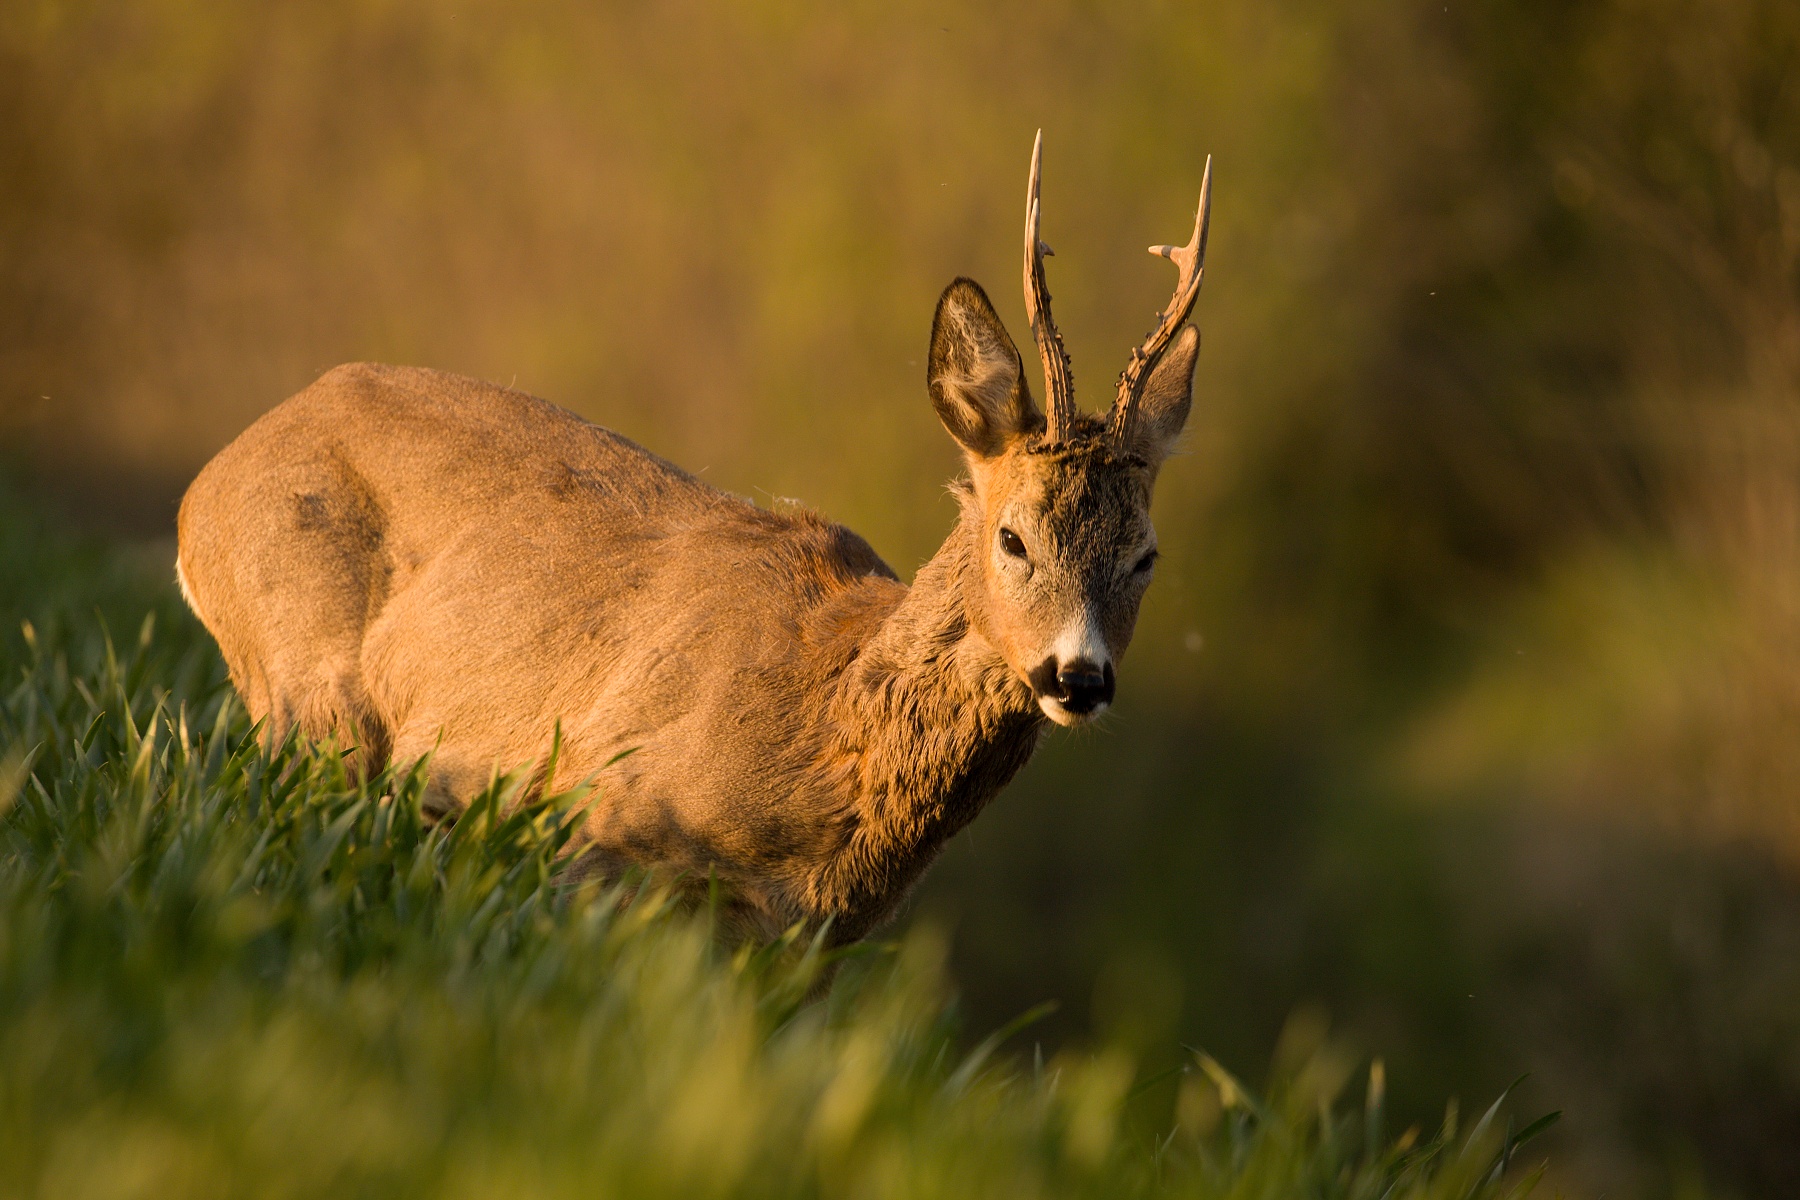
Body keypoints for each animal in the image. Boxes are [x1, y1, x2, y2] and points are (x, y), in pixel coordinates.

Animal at [175, 135, 1209, 942]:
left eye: (1146, 557)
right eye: (1012, 538)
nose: (1077, 676)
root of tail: (206, 488)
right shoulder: (591, 818)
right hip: (310, 694)